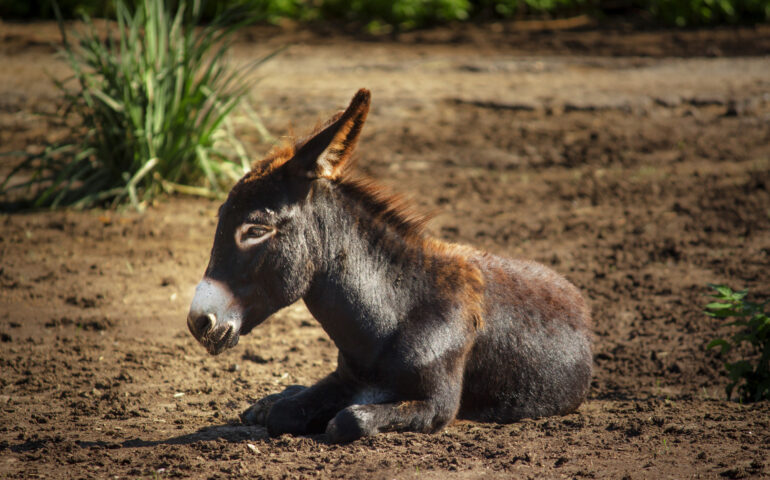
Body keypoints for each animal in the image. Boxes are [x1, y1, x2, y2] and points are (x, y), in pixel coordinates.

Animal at [188, 90, 592, 442]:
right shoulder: (345, 379)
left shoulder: (436, 405)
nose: (198, 322)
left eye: (255, 229)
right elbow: (284, 413)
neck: (393, 317)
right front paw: (276, 405)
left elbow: (348, 420)